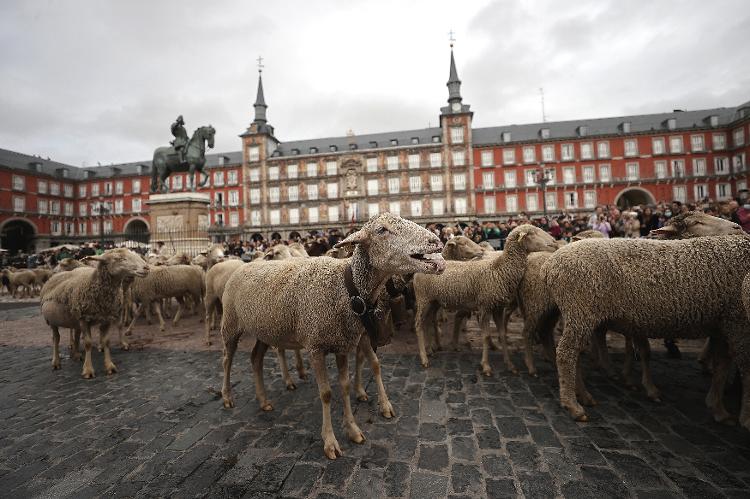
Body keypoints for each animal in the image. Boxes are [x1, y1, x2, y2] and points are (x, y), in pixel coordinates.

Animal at [40, 250, 150, 378]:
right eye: (120, 258)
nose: (147, 268)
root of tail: (52, 277)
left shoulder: (107, 317)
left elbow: (107, 341)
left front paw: (110, 366)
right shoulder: (84, 319)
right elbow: (88, 343)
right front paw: (88, 370)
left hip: (75, 319)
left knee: (76, 335)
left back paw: (76, 355)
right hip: (52, 321)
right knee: (56, 339)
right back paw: (56, 362)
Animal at [222, 213, 446, 458]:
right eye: (381, 230)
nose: (436, 241)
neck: (346, 287)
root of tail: (245, 265)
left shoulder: (342, 345)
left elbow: (345, 386)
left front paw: (353, 430)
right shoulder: (315, 347)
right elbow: (326, 393)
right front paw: (330, 442)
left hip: (265, 331)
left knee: (255, 359)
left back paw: (263, 401)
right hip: (230, 325)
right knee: (227, 360)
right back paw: (227, 397)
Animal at [412, 226, 560, 376]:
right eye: (532, 233)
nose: (554, 243)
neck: (499, 269)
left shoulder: (497, 308)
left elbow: (502, 333)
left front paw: (510, 365)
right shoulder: (485, 307)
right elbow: (486, 336)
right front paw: (486, 366)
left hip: (433, 302)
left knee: (428, 322)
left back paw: (430, 349)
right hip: (423, 299)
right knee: (419, 324)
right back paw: (424, 358)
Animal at [548, 232, 750, 428]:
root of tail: (554, 262)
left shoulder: (723, 325)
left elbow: (722, 365)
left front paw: (719, 410)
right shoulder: (737, 320)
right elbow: (744, 368)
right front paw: (744, 419)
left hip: (581, 314)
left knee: (574, 354)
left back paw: (583, 395)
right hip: (580, 310)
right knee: (566, 353)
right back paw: (573, 406)